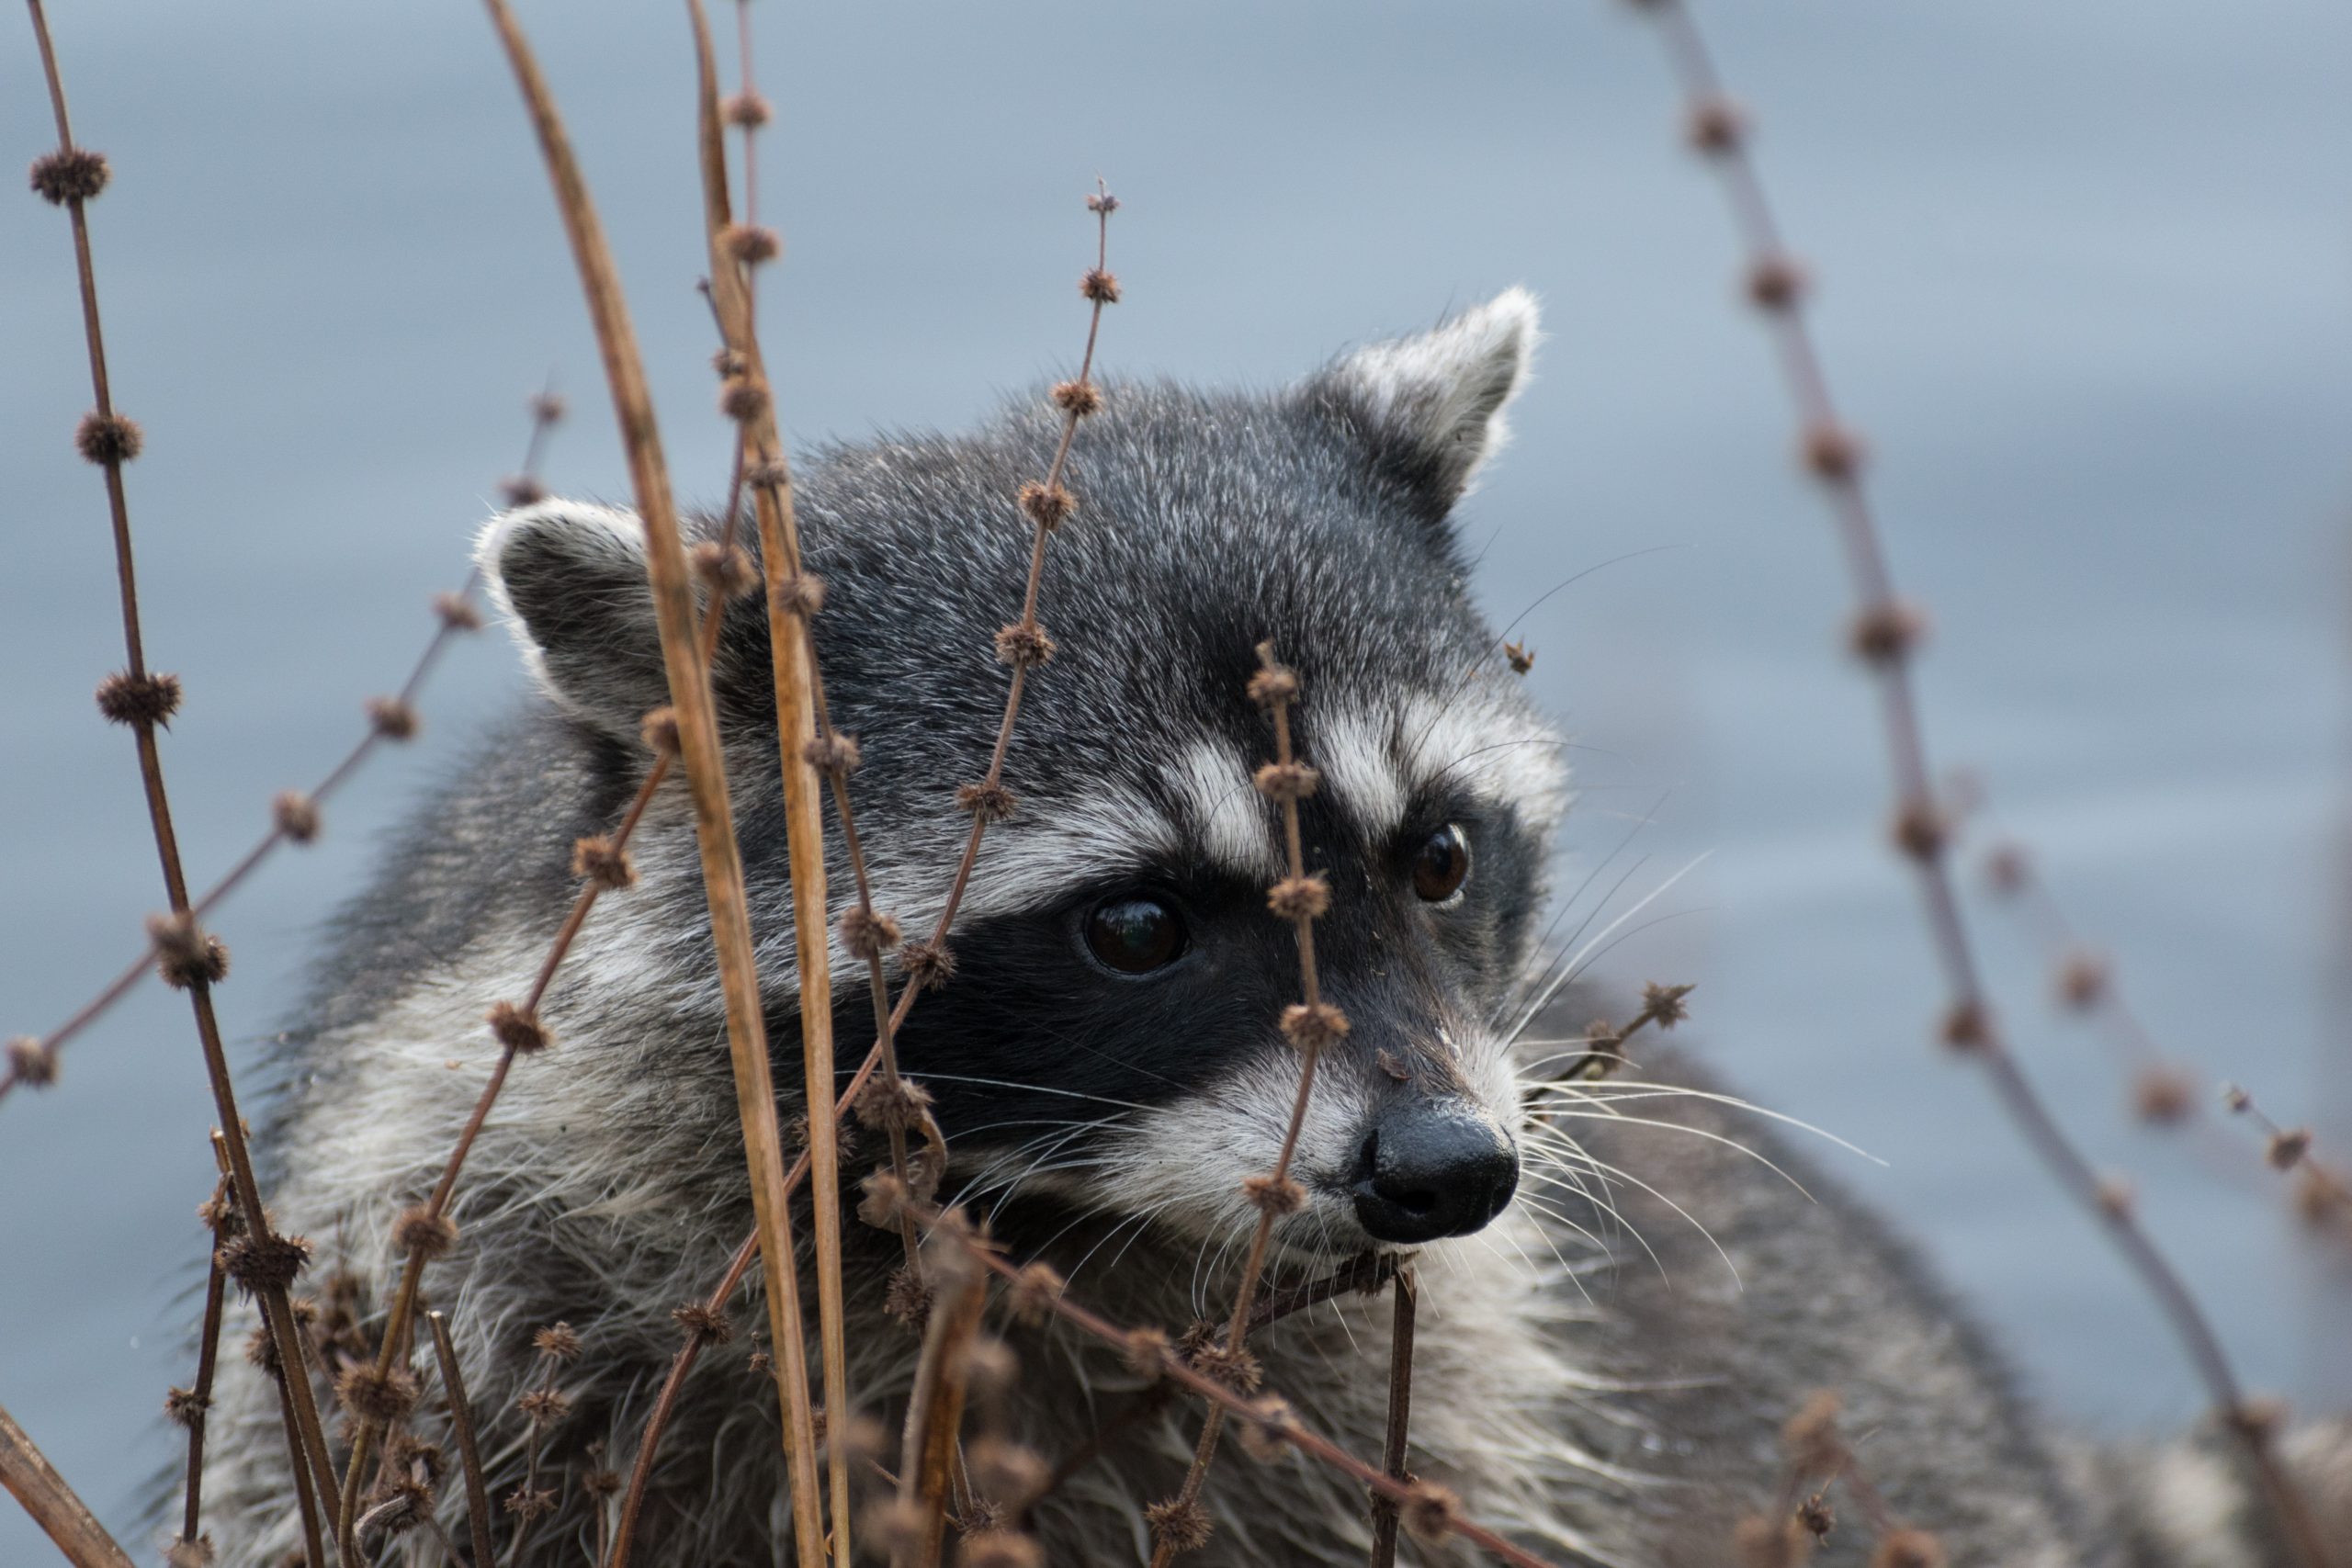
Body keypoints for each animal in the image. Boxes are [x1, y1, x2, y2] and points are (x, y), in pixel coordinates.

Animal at [198, 291, 2333, 1561]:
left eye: (1441, 856)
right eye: (1139, 923)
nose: (1451, 1171)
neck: (1036, 1222)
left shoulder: (1450, 1400)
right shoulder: (483, 1287)